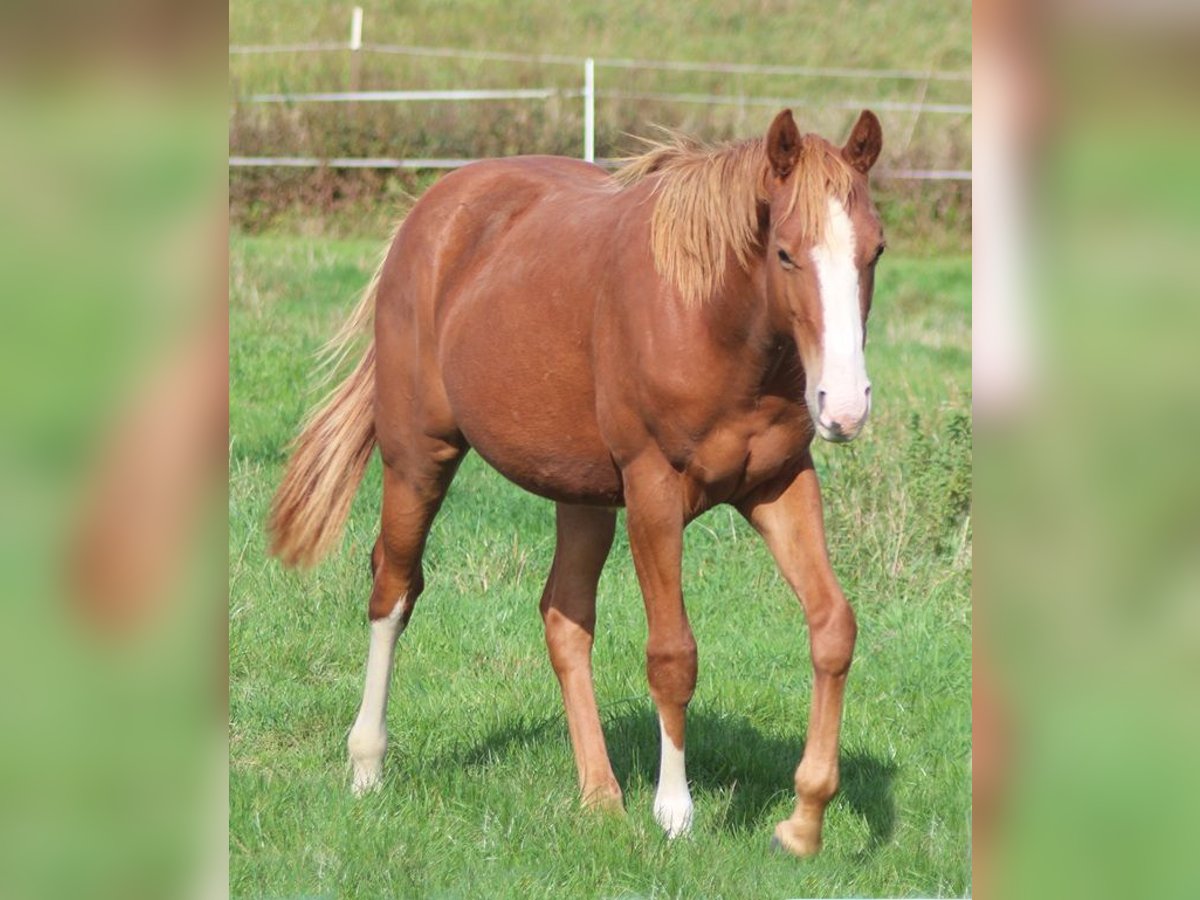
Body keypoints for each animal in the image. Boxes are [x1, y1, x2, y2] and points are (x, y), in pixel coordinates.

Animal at [268, 108, 885, 857]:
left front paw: (804, 820)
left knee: (564, 619)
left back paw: (599, 796)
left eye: (875, 251)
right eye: (787, 254)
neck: (709, 318)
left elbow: (832, 628)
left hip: (581, 495)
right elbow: (673, 654)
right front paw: (675, 812)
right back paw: (366, 765)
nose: (845, 407)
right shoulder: (654, 492)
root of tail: (432, 212)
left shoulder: (780, 484)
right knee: (394, 589)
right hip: (418, 457)